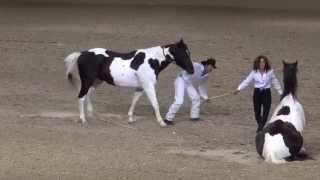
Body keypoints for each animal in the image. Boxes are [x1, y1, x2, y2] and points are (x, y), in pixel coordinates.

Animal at [64, 39, 194, 126]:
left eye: (189, 53)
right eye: (182, 54)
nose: (192, 70)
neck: (152, 60)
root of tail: (81, 53)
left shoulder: (140, 87)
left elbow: (134, 101)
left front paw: (130, 119)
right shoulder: (149, 86)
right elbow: (155, 104)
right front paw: (162, 122)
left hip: (96, 82)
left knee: (88, 95)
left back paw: (90, 115)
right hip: (87, 81)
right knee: (81, 97)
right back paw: (83, 119)